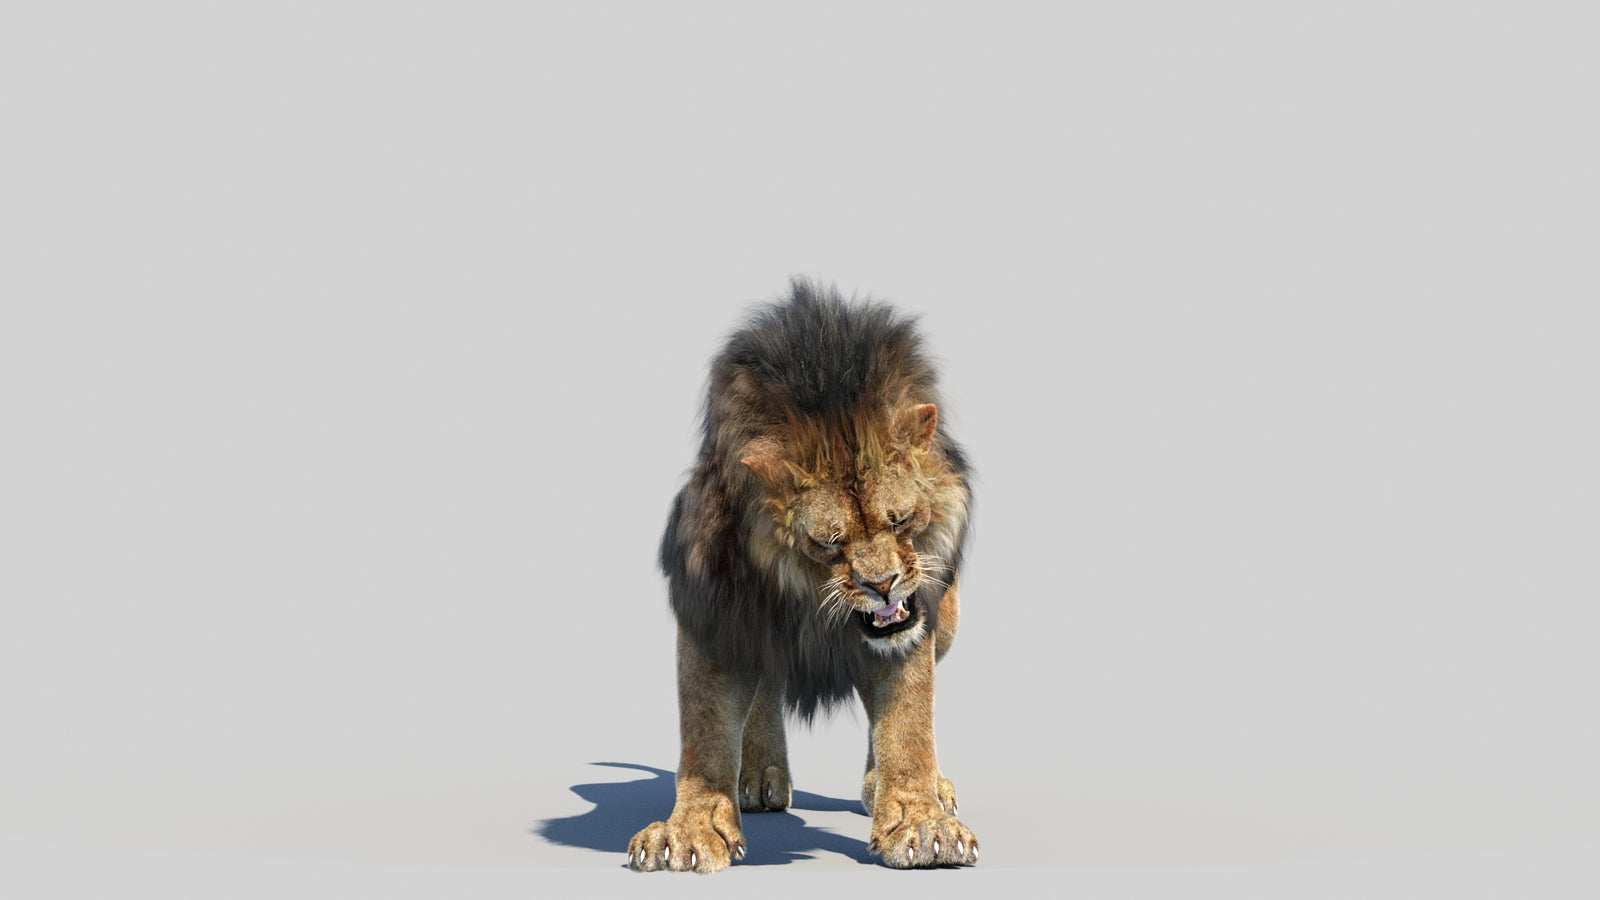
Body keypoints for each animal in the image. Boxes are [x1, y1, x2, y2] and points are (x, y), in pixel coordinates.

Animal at [627, 279, 978, 872]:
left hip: (948, 619)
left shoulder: (914, 623)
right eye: (828, 542)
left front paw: (921, 821)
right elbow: (704, 731)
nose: (882, 585)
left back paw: (892, 787)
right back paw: (759, 776)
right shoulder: (712, 606)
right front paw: (690, 830)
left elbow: (908, 721)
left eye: (900, 519)